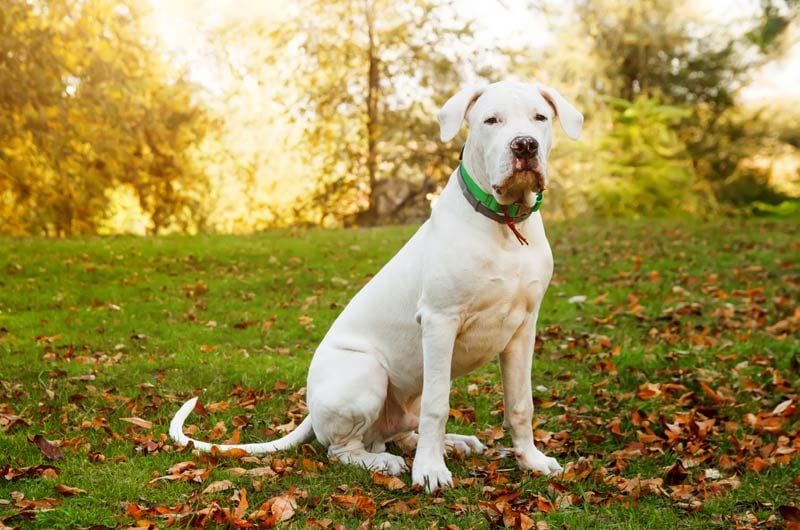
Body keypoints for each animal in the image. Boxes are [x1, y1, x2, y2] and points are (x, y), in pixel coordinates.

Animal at [170, 80, 580, 492]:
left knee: (401, 432)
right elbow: (438, 405)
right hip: (366, 371)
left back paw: (452, 443)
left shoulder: (523, 327)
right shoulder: (440, 321)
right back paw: (385, 462)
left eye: (539, 118)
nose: (525, 145)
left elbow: (520, 402)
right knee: (343, 450)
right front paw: (430, 471)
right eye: (491, 120)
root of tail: (311, 408)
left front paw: (531, 460)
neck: (505, 225)